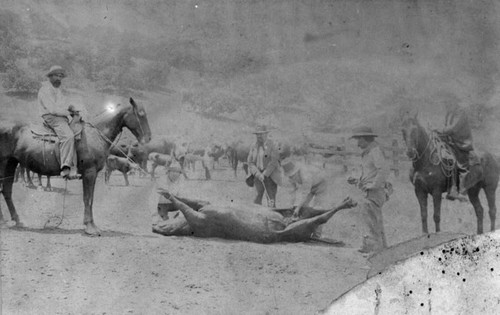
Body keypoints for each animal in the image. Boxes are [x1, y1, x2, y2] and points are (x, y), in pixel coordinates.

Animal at [0, 97, 152, 236]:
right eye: (141, 114)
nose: (148, 138)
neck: (95, 134)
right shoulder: (89, 173)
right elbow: (87, 198)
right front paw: (90, 227)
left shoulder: (92, 174)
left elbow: (90, 198)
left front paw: (91, 225)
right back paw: (3, 221)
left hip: (10, 164)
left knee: (7, 191)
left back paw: (17, 220)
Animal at [153, 190, 356, 244]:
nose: (154, 227)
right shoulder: (203, 219)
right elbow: (189, 206)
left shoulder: (203, 210)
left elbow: (188, 203)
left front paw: (167, 195)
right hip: (298, 227)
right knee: (317, 217)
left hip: (300, 220)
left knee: (313, 213)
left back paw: (348, 202)